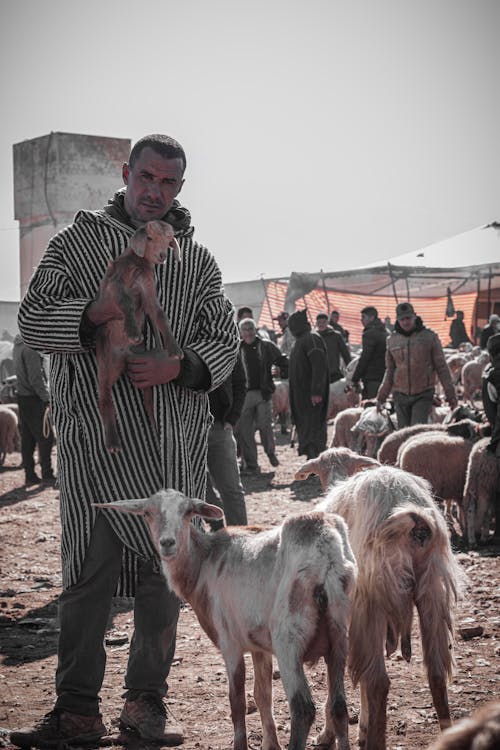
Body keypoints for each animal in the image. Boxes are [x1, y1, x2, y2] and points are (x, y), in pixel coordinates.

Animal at [95, 490, 358, 750]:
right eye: (148, 513)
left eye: (188, 512)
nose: (167, 543)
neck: (202, 563)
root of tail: (327, 556)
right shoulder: (258, 644)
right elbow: (262, 695)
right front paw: (270, 744)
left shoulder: (229, 640)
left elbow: (237, 700)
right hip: (338, 634)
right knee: (338, 706)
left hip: (288, 640)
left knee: (302, 708)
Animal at [294, 450, 462, 750]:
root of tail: (413, 516)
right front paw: (361, 726)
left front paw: (328, 735)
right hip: (432, 589)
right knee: (436, 674)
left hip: (372, 597)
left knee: (378, 682)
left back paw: (375, 740)